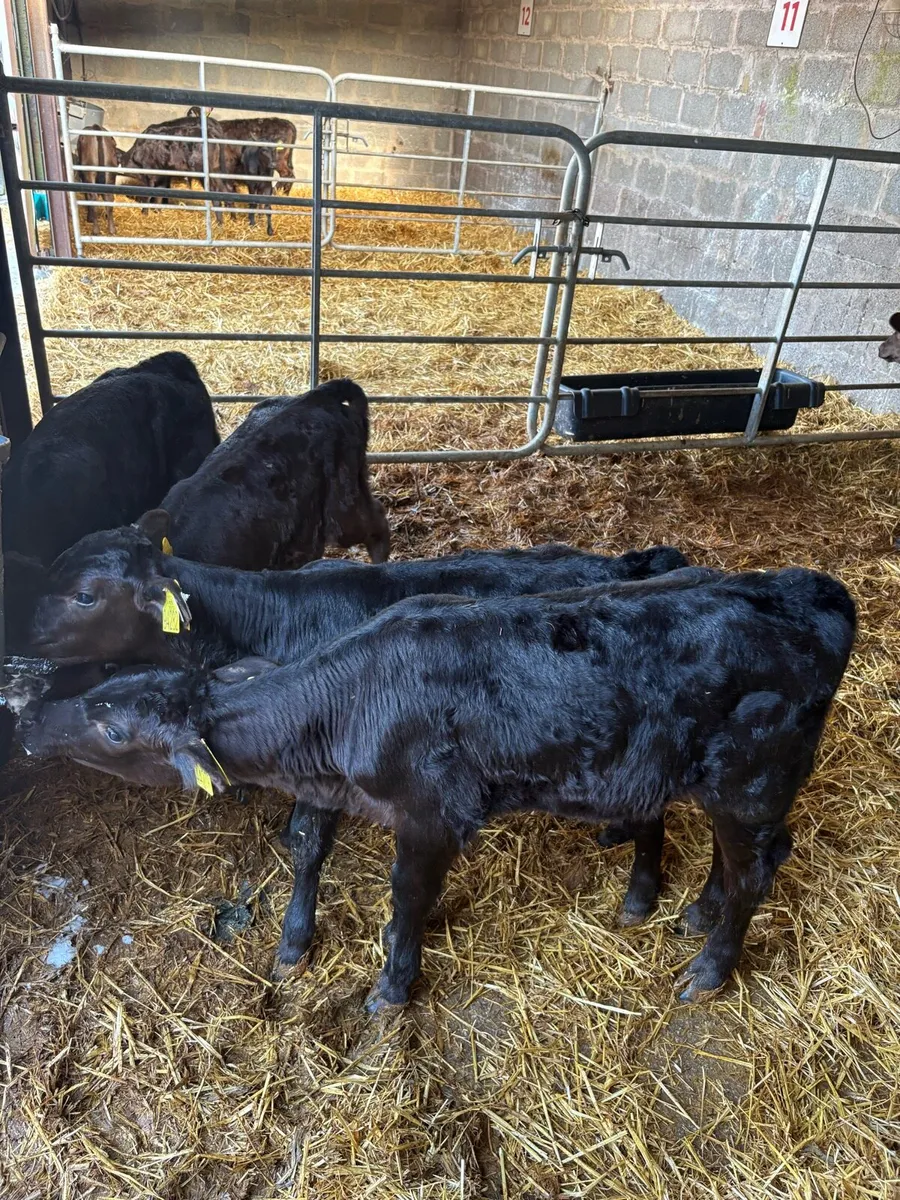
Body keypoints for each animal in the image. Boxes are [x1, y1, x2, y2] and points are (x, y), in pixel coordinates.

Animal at [15, 566, 856, 1009]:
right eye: (110, 685)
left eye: (112, 728)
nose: (29, 719)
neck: (350, 698)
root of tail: (811, 588)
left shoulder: (429, 814)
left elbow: (407, 895)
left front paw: (392, 984)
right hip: (725, 784)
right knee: (744, 856)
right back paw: (693, 913)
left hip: (751, 777)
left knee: (755, 868)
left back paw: (709, 969)